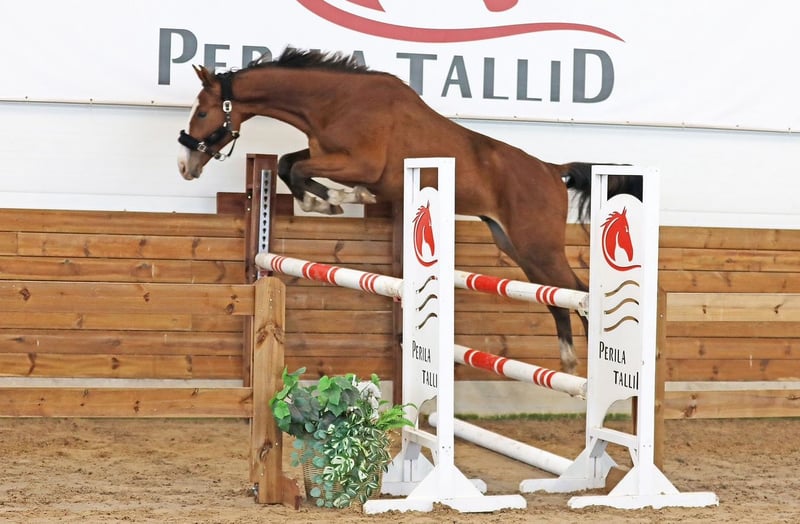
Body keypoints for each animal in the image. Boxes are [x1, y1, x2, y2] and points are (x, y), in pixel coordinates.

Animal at [177, 47, 642, 375]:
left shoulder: (360, 164)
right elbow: (290, 164)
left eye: (203, 111)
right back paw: (569, 361)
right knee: (560, 297)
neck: (334, 101)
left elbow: (304, 170)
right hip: (516, 246)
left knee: (579, 292)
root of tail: (551, 170)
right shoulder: (325, 153)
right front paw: (323, 200)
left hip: (538, 245)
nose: (184, 165)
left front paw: (341, 199)